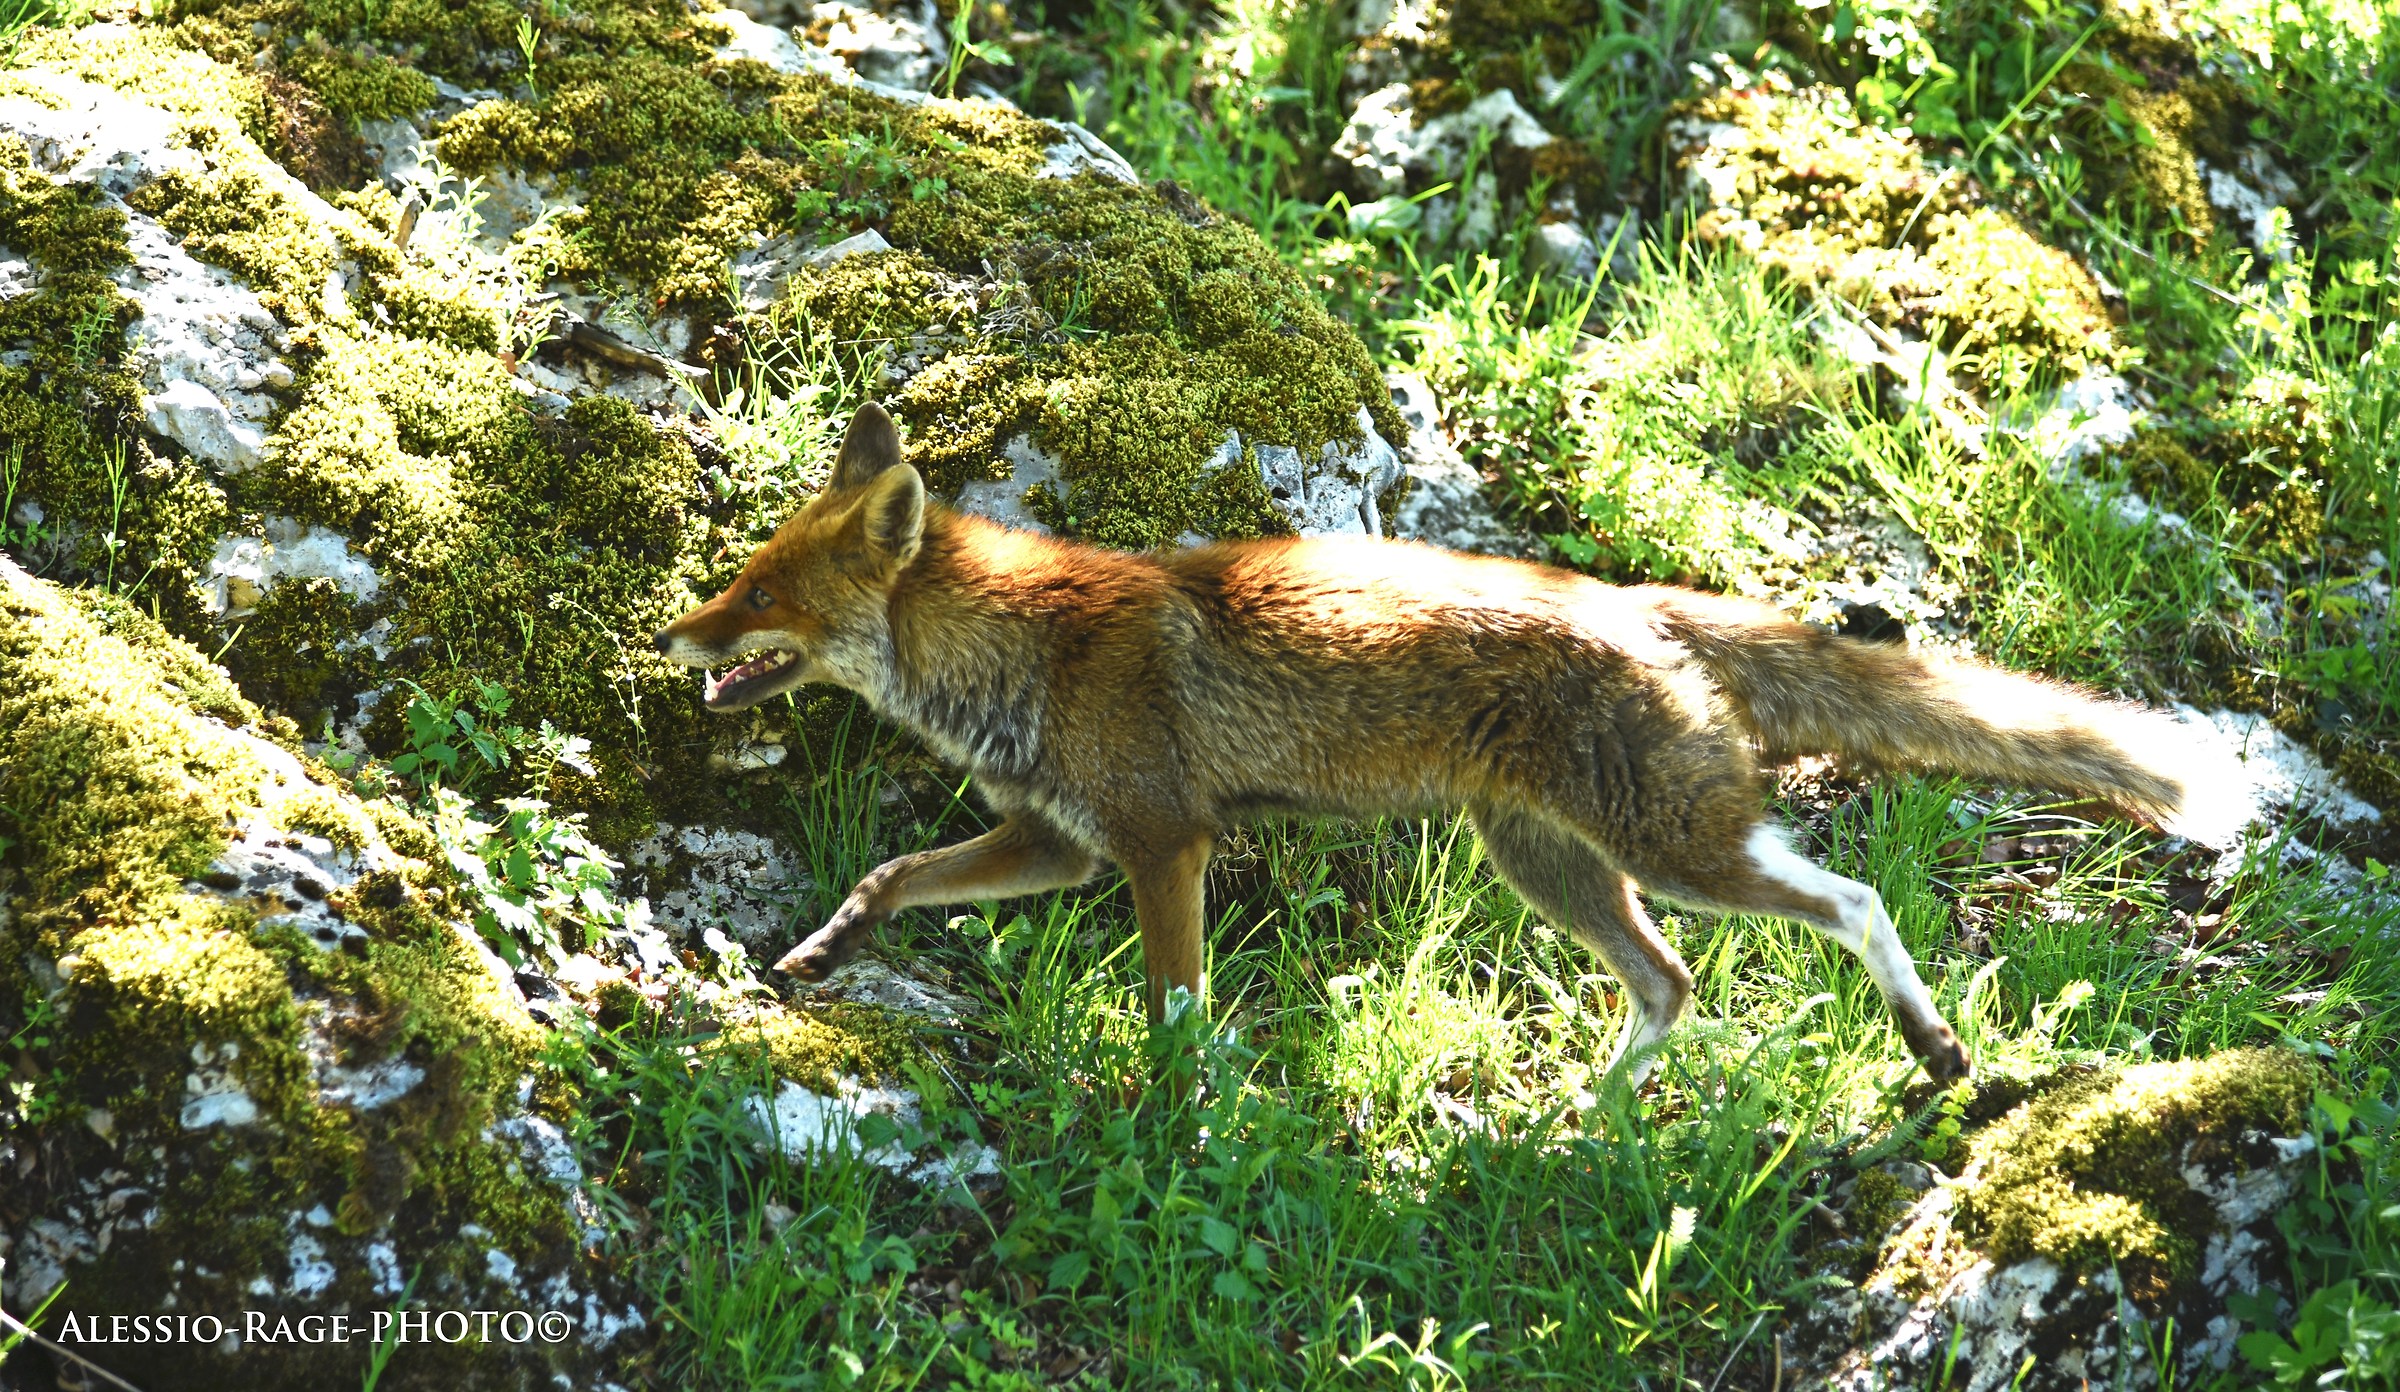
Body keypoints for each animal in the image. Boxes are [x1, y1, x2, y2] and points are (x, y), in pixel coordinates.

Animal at [654, 402, 2251, 1084]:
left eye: (760, 598)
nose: (672, 635)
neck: (1028, 653)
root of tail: (1642, 601)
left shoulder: (1165, 843)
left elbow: (1174, 1012)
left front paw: (1176, 1125)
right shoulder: (1059, 838)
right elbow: (892, 881)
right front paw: (820, 956)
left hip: (1675, 847)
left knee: (1850, 900)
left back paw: (1932, 1045)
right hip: (1551, 863)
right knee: (1671, 989)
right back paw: (1596, 1125)